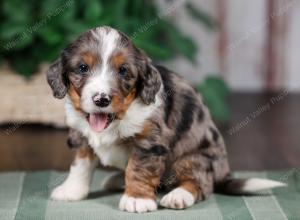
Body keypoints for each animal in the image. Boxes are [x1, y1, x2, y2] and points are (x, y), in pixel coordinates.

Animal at [47, 25, 286, 213]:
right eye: (82, 67)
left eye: (123, 70)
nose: (101, 99)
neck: (115, 120)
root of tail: (223, 172)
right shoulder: (81, 135)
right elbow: (81, 165)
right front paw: (72, 190)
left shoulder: (149, 142)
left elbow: (138, 168)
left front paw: (137, 199)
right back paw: (117, 180)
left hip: (193, 158)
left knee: (201, 183)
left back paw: (178, 196)